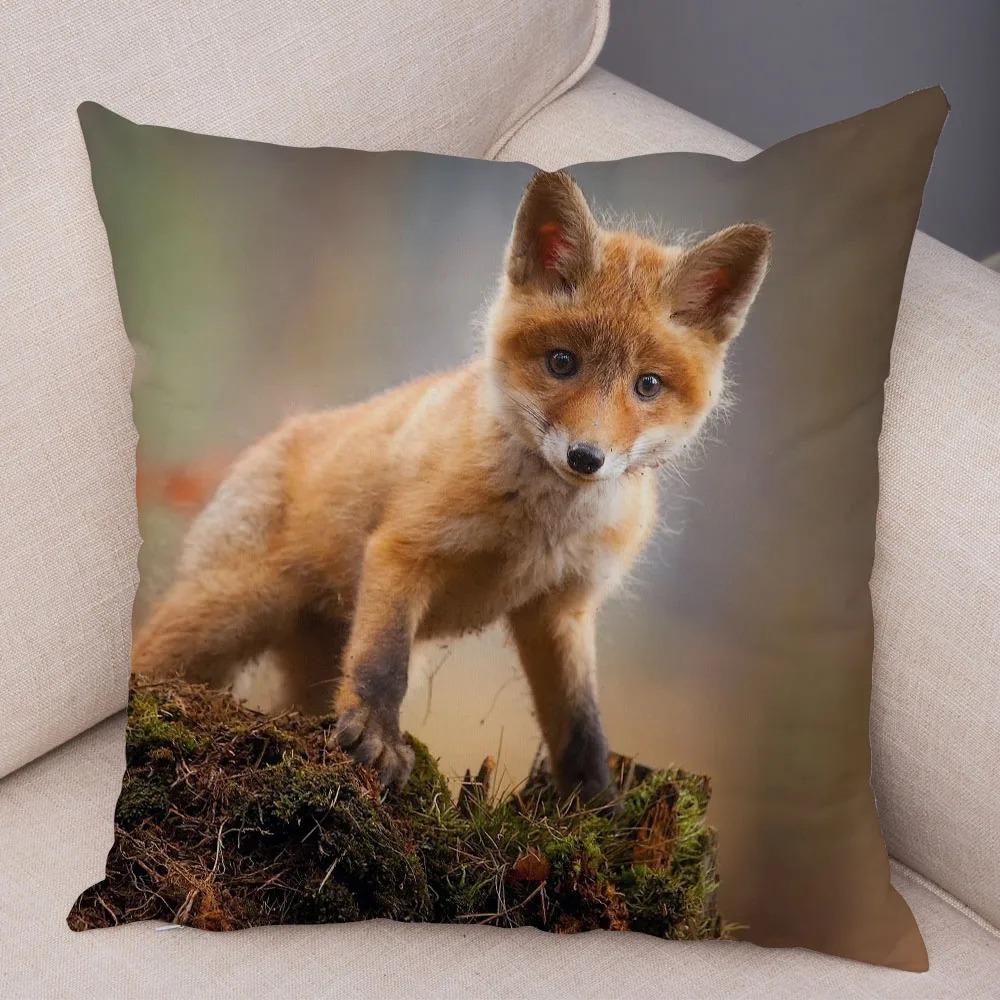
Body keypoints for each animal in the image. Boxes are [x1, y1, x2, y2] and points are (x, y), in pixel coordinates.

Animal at [131, 170, 771, 802]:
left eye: (648, 385)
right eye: (562, 362)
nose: (586, 458)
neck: (541, 528)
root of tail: (274, 437)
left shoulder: (560, 607)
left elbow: (581, 724)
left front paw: (596, 804)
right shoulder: (404, 550)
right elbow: (384, 664)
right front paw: (377, 739)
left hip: (309, 657)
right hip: (228, 613)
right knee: (150, 656)